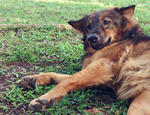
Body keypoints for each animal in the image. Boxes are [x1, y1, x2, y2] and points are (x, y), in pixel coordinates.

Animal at [18, 5, 150, 114]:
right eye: (88, 26)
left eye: (106, 22)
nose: (91, 38)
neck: (122, 39)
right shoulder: (102, 79)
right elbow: (63, 77)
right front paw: (34, 79)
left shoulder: (105, 66)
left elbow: (67, 80)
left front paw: (44, 99)